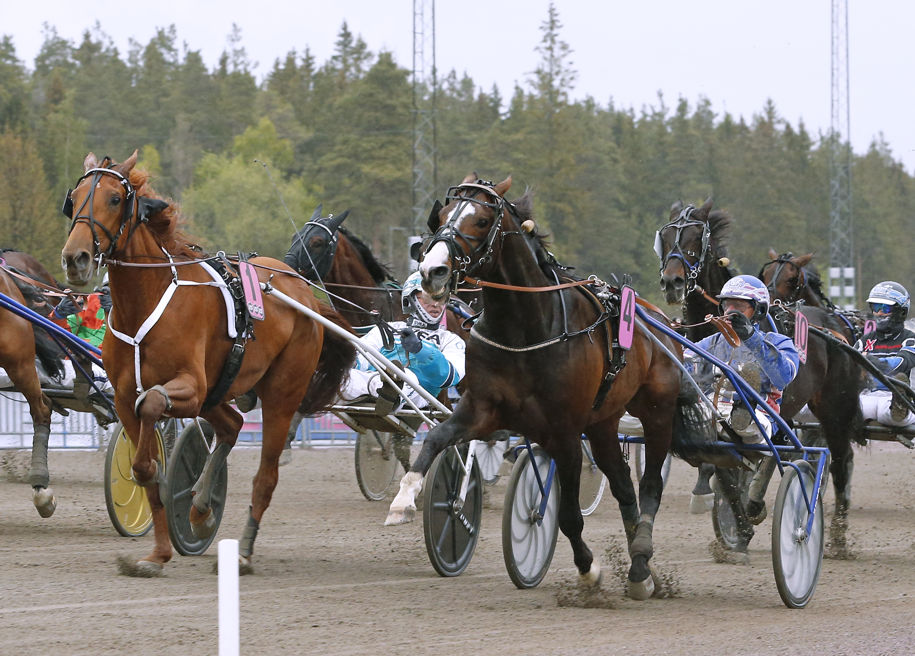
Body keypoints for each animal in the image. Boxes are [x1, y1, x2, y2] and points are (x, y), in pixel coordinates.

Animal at [60, 151, 356, 575]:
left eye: (115, 198)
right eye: (75, 198)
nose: (76, 258)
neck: (145, 302)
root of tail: (302, 288)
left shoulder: (189, 384)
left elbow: (152, 402)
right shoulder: (124, 396)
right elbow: (145, 466)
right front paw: (158, 553)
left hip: (280, 393)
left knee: (266, 475)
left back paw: (244, 551)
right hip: (218, 391)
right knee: (231, 426)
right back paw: (200, 506)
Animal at [386, 174, 685, 599]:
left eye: (481, 221)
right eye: (441, 217)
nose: (433, 271)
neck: (527, 328)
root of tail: (659, 320)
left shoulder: (564, 432)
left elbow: (569, 516)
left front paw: (589, 571)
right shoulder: (482, 410)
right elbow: (436, 439)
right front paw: (404, 498)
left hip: (657, 412)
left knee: (650, 484)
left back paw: (641, 560)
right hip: (603, 422)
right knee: (624, 486)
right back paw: (641, 569)